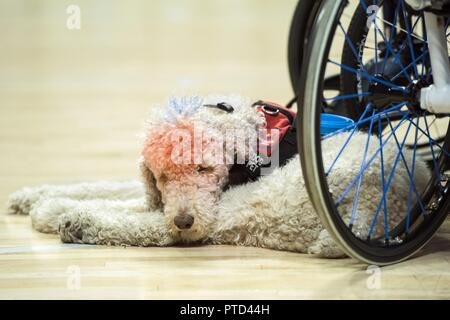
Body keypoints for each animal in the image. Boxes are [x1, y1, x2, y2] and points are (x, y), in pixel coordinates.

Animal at [7, 94, 428, 258]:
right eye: (162, 175)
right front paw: (38, 198)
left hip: (256, 206)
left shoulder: (203, 210)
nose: (184, 219)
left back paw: (79, 224)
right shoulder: (157, 197)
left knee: (147, 229)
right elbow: (110, 189)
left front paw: (61, 213)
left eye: (204, 168)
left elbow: (127, 214)